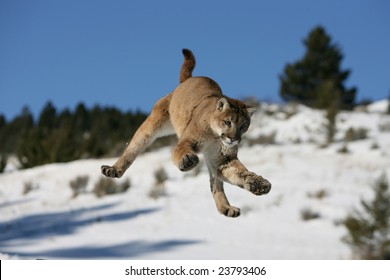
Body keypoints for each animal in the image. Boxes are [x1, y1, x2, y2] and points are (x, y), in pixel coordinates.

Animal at [100, 49, 272, 218]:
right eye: (228, 122)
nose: (233, 139)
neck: (215, 137)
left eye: (243, 126)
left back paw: (226, 208)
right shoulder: (188, 141)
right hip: (153, 123)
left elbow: (240, 173)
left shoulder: (223, 159)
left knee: (215, 183)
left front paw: (260, 185)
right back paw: (113, 170)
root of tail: (188, 80)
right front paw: (187, 161)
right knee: (133, 148)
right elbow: (181, 151)